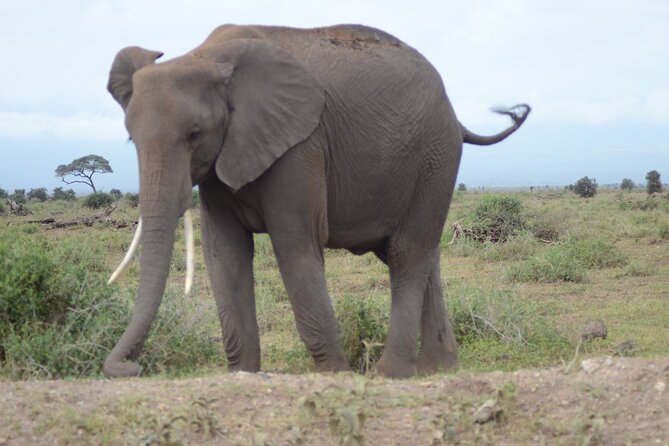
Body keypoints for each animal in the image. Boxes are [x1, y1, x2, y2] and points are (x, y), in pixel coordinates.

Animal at [103, 24, 530, 379]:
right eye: (130, 138)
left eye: (194, 134)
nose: (133, 368)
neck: (205, 57)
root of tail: (456, 118)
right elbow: (224, 252)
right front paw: (242, 373)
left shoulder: (301, 145)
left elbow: (296, 243)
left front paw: (335, 374)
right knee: (424, 253)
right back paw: (437, 368)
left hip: (435, 154)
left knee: (406, 253)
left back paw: (391, 374)